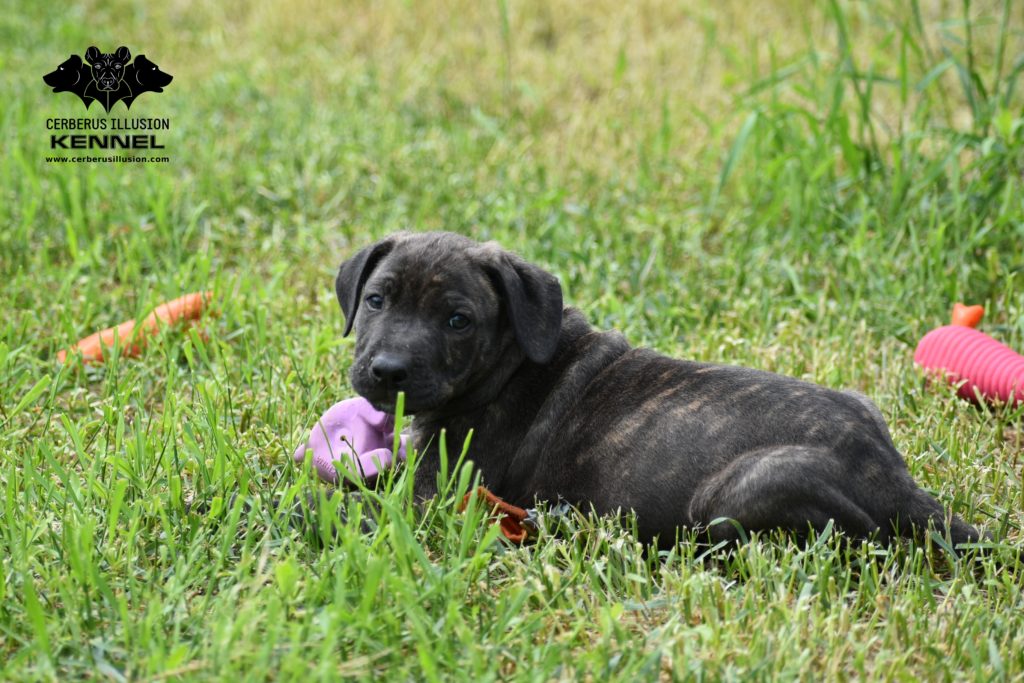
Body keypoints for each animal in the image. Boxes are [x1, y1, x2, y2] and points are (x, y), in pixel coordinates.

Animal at [335, 232, 983, 548]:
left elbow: (357, 500)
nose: (387, 371)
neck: (511, 361)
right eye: (377, 300)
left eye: (458, 320)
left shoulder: (431, 491)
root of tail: (898, 484)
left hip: (745, 490)